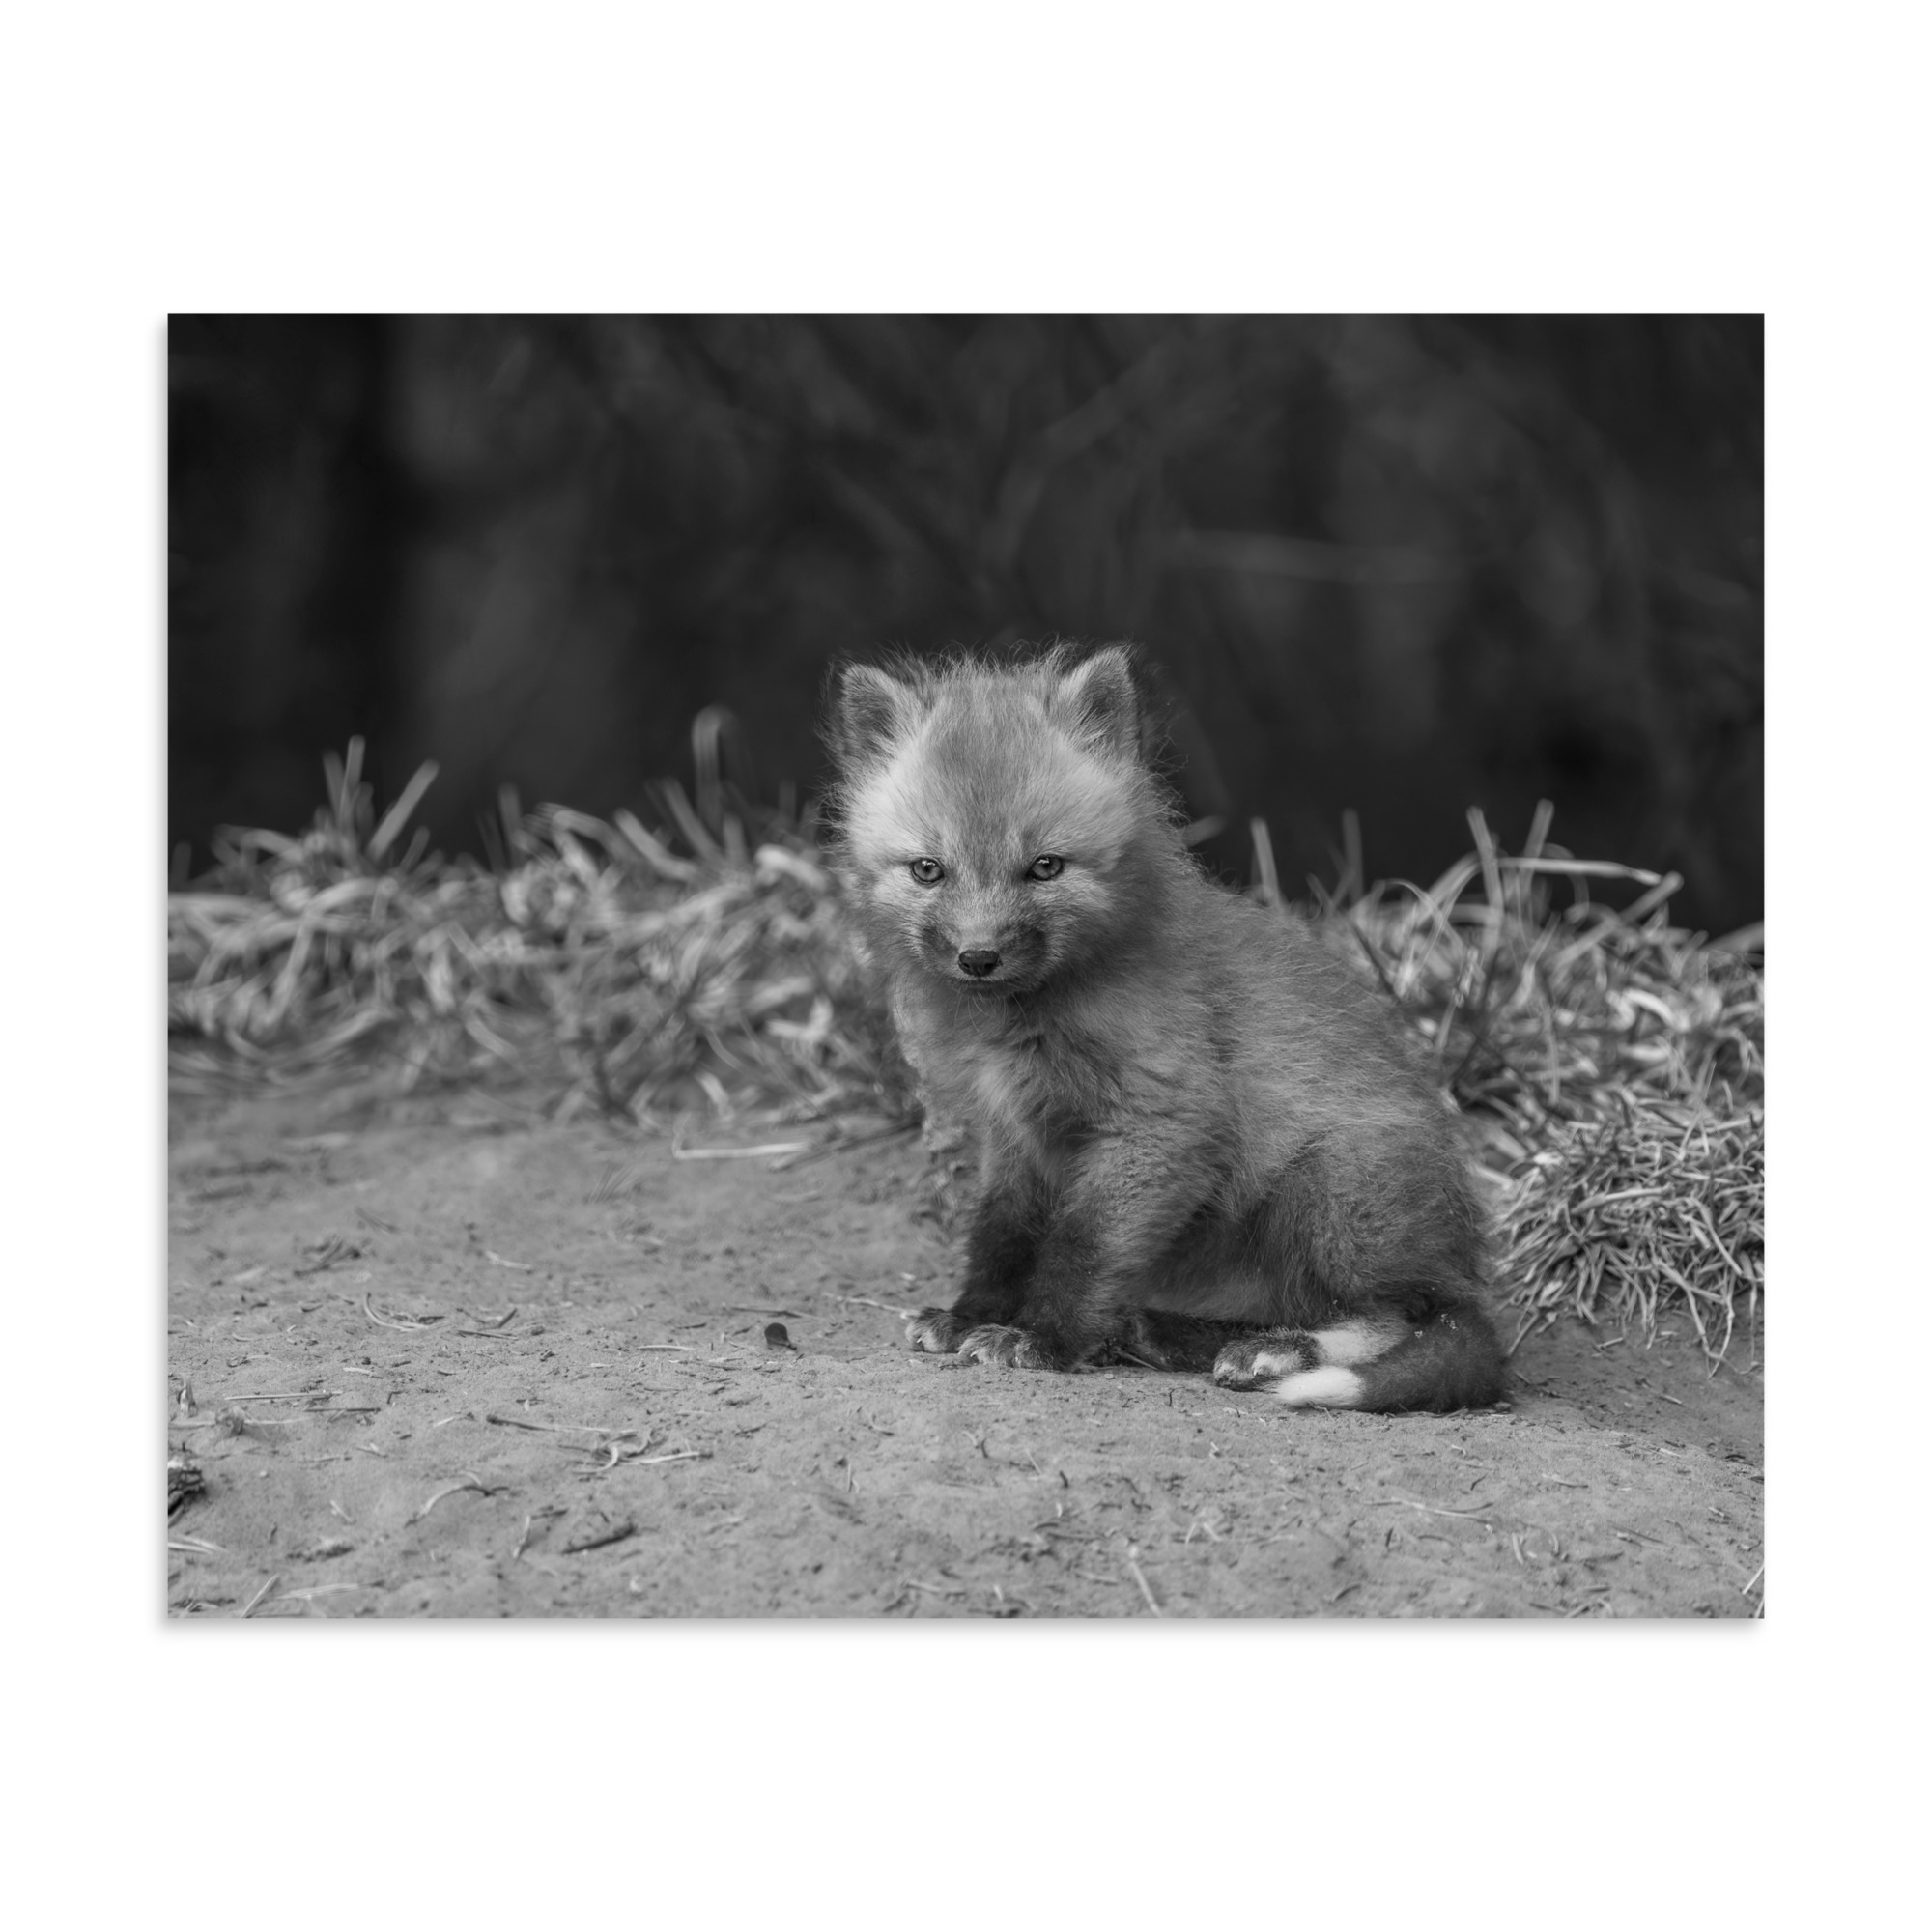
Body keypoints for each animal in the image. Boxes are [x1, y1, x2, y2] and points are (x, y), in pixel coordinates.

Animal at [824, 643, 1506, 1412]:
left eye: (1045, 867)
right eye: (928, 870)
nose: (978, 957)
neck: (1027, 1024)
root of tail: (1461, 1263)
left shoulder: (1162, 1123)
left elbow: (1082, 1246)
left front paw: (1042, 1338)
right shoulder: (1015, 1136)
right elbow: (1001, 1236)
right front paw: (972, 1315)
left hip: (1329, 1189)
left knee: (1404, 1318)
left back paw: (1275, 1353)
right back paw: (1165, 1333)